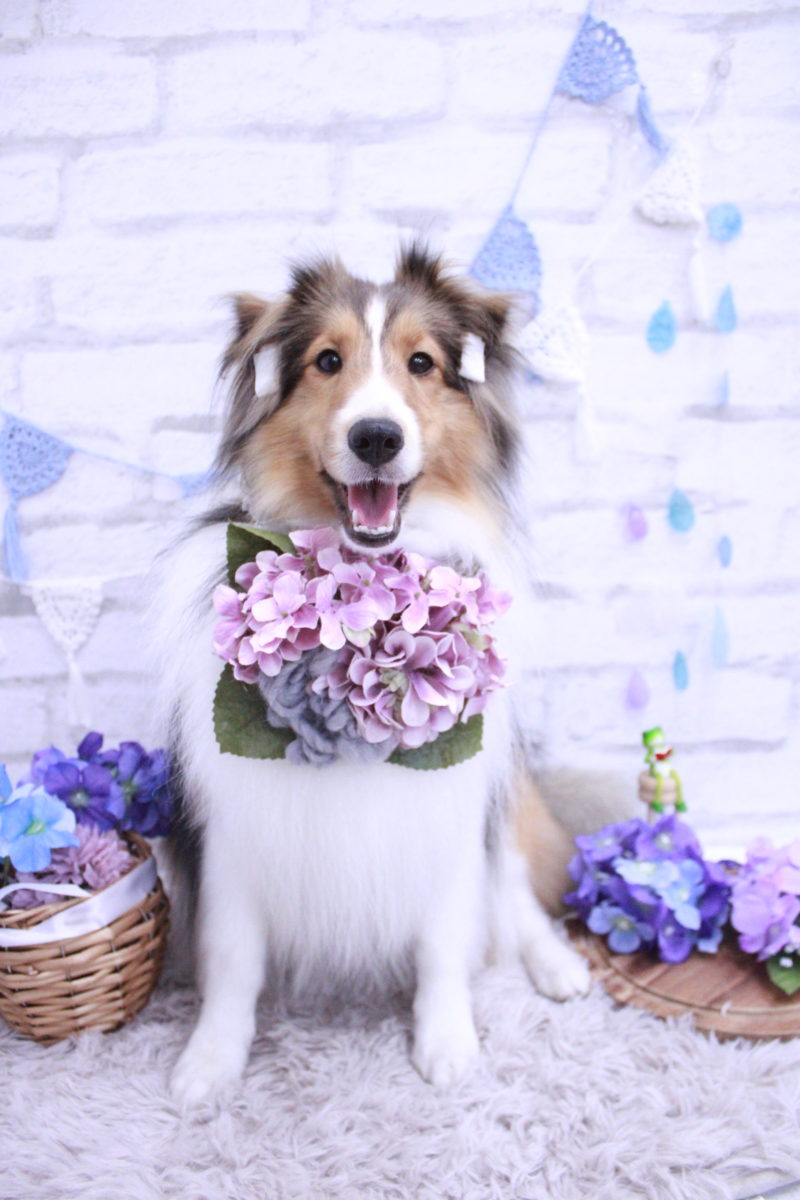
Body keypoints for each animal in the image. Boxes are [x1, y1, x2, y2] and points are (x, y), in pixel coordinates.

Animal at [158, 245, 591, 1105]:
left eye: (421, 363)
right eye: (328, 361)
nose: (377, 436)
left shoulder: (451, 814)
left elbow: (446, 946)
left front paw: (448, 1045)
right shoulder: (235, 829)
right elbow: (232, 963)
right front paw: (211, 1063)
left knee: (517, 896)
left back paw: (558, 966)